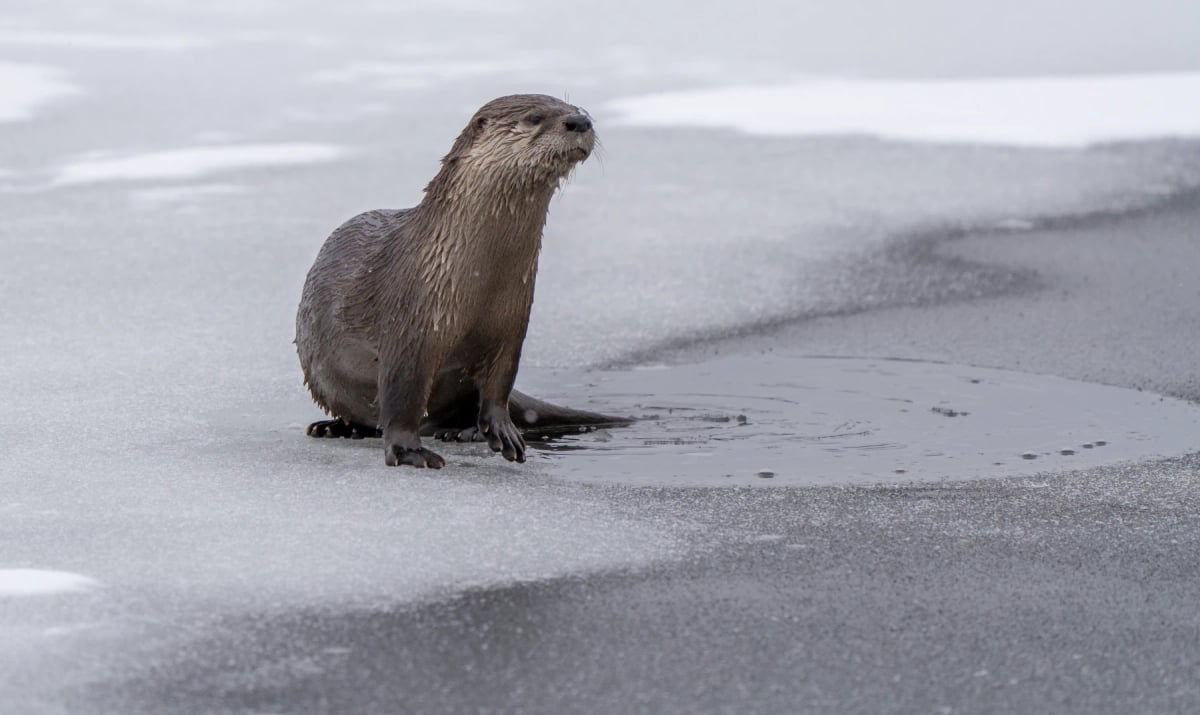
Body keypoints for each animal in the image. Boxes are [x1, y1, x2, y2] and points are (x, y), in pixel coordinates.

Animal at [295, 94, 621, 468]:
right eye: (534, 118)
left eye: (578, 110)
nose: (579, 122)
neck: (480, 279)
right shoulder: (411, 323)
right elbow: (401, 394)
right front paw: (408, 450)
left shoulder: (512, 323)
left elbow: (498, 386)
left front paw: (502, 431)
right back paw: (334, 426)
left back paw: (462, 431)